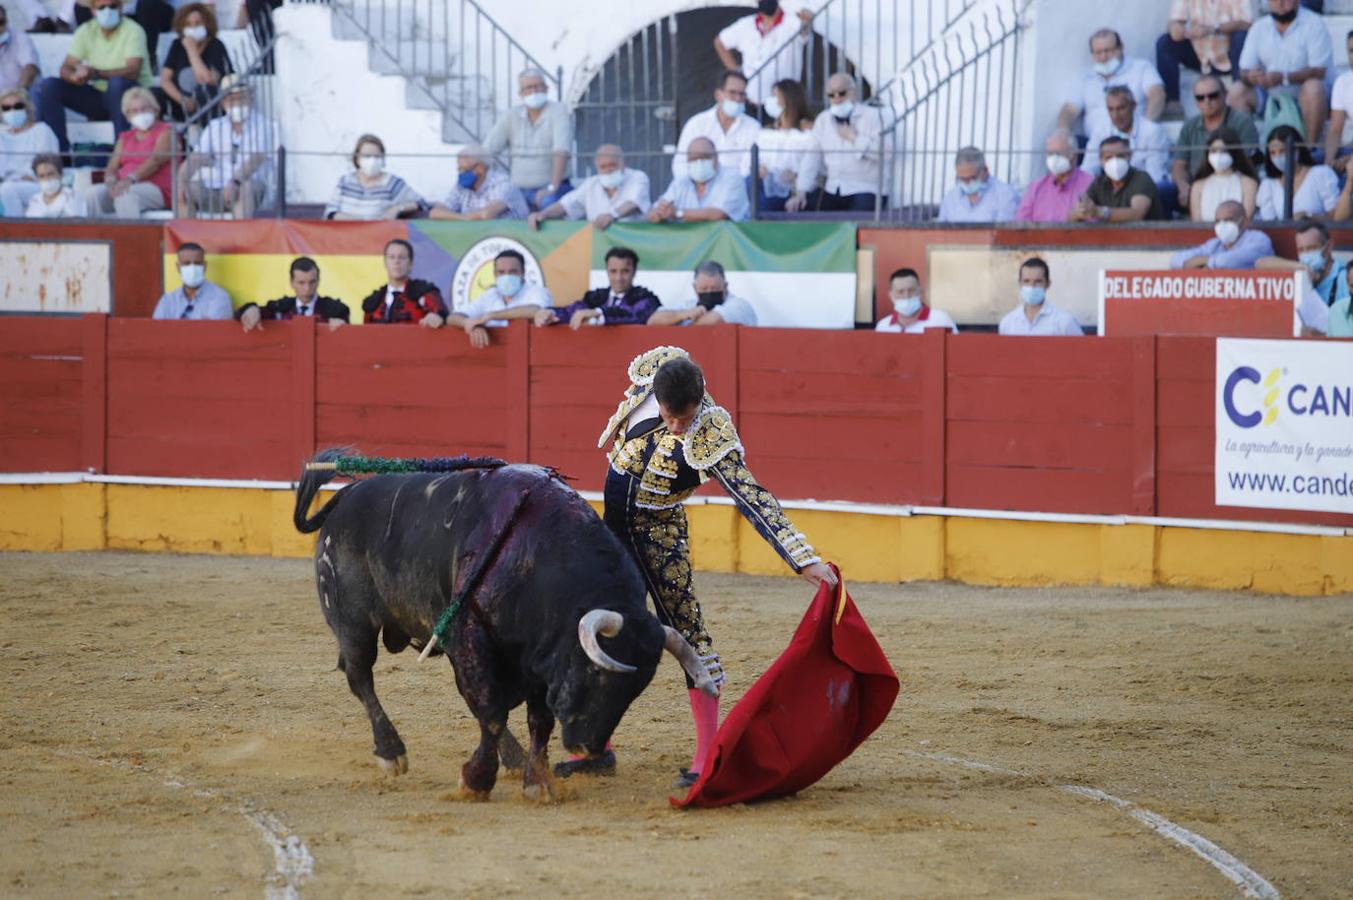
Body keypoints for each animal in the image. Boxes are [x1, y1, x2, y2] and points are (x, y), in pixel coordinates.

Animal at [293, 452, 719, 795]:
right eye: (598, 674)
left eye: (636, 691)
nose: (587, 747)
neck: (540, 560)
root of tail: (346, 496)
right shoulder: (471, 636)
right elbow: (492, 710)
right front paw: (476, 780)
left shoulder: (540, 656)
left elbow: (536, 720)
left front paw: (537, 781)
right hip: (353, 622)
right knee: (361, 677)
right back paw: (391, 752)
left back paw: (511, 759)